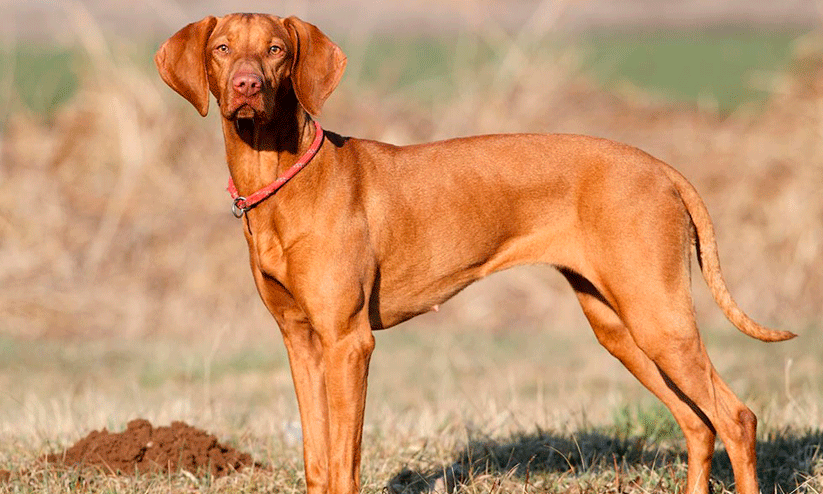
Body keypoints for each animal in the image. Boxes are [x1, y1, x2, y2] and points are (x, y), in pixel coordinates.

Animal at [156, 13, 800, 494]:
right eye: (221, 49)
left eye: (275, 51)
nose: (247, 87)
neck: (284, 181)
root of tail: (662, 168)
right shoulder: (301, 343)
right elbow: (318, 462)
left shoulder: (347, 343)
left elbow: (344, 463)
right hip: (619, 327)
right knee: (697, 424)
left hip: (658, 318)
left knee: (736, 419)